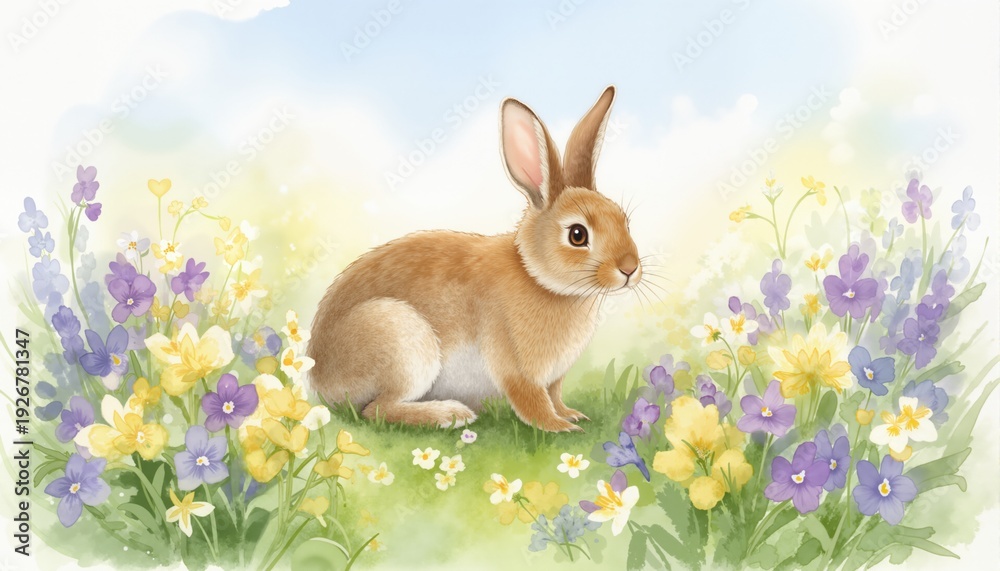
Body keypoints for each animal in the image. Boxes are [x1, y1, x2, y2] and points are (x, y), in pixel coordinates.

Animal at [307, 86, 641, 432]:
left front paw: (571, 414)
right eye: (577, 235)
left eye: (624, 220)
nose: (630, 268)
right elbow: (531, 400)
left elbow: (555, 395)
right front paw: (559, 427)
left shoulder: (553, 379)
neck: (536, 275)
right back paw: (451, 415)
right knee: (376, 410)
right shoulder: (514, 364)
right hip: (401, 342)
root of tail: (318, 378)